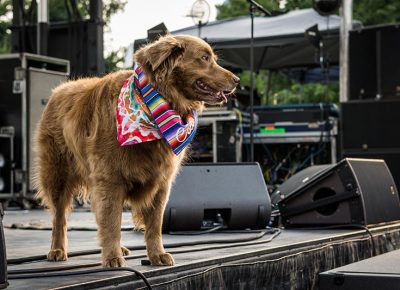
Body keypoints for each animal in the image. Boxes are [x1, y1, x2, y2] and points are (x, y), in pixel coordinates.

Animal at [34, 34, 239, 268]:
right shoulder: (110, 178)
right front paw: (112, 256)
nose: (237, 80)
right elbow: (111, 221)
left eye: (213, 58)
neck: (156, 103)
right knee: (59, 216)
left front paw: (156, 254)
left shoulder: (161, 182)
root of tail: (57, 91)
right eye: (204, 58)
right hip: (57, 174)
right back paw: (58, 249)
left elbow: (154, 225)